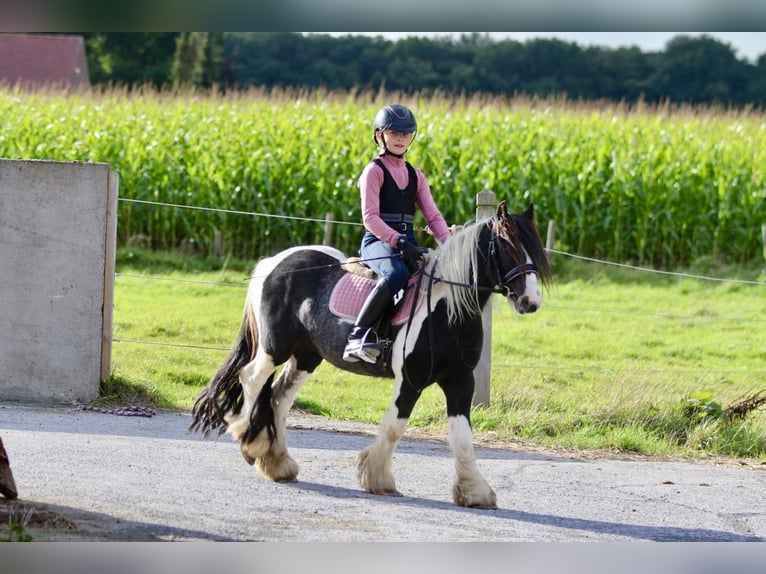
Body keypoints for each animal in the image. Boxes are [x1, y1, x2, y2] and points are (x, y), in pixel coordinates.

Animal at [190, 201, 552, 508]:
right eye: (505, 246)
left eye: (533, 248)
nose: (531, 302)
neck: (448, 309)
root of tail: (273, 262)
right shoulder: (411, 380)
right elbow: (395, 427)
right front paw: (377, 477)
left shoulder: (460, 382)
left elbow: (462, 436)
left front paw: (475, 491)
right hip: (274, 347)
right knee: (252, 379)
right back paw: (252, 443)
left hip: (306, 356)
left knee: (279, 396)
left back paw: (277, 462)